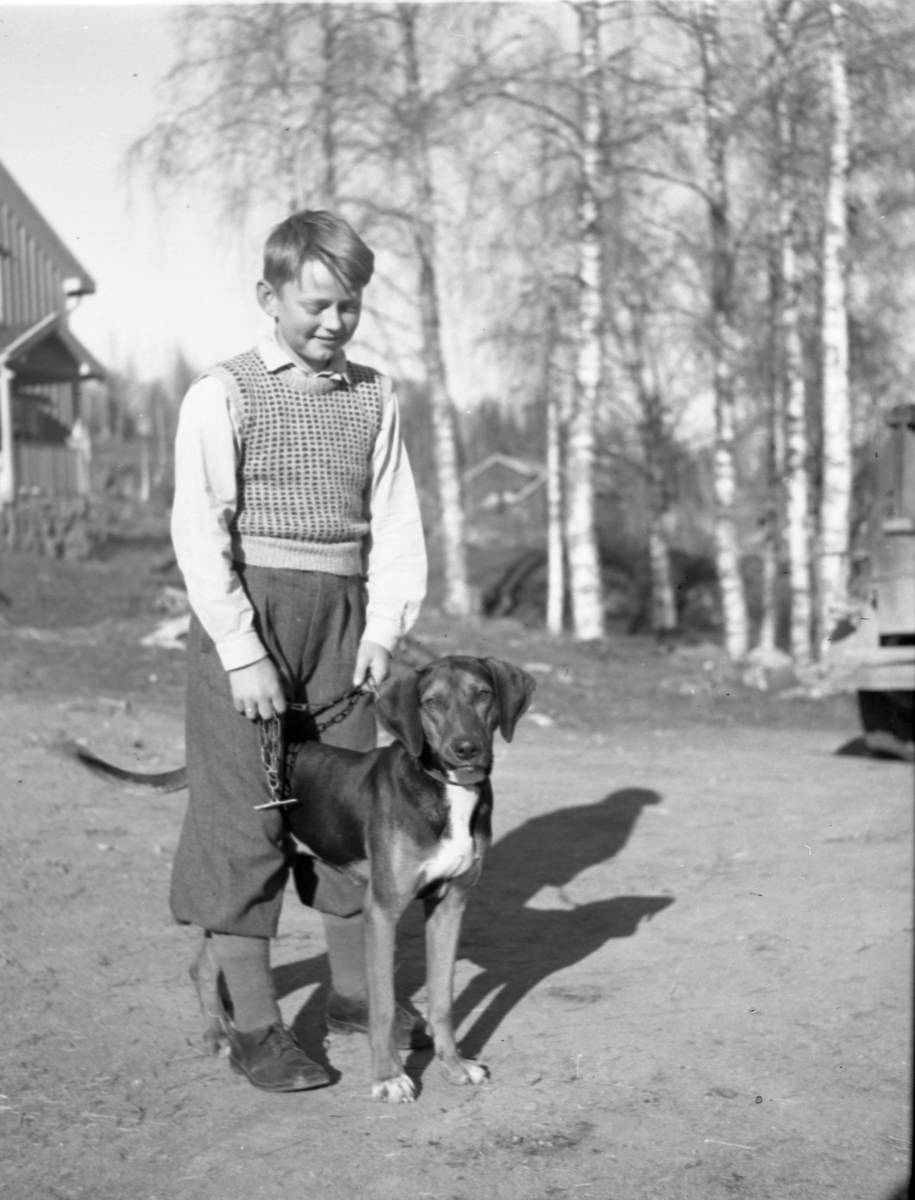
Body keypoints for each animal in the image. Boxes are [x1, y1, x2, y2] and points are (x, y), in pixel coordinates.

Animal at [71, 657, 535, 1104]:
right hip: (254, 862)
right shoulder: (383, 909)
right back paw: (221, 1035)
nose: (466, 748)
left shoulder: (450, 905)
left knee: (205, 955)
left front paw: (454, 1067)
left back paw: (222, 1025)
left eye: (482, 694)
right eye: (431, 702)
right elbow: (383, 1008)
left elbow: (442, 1001)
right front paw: (388, 1078)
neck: (446, 790)